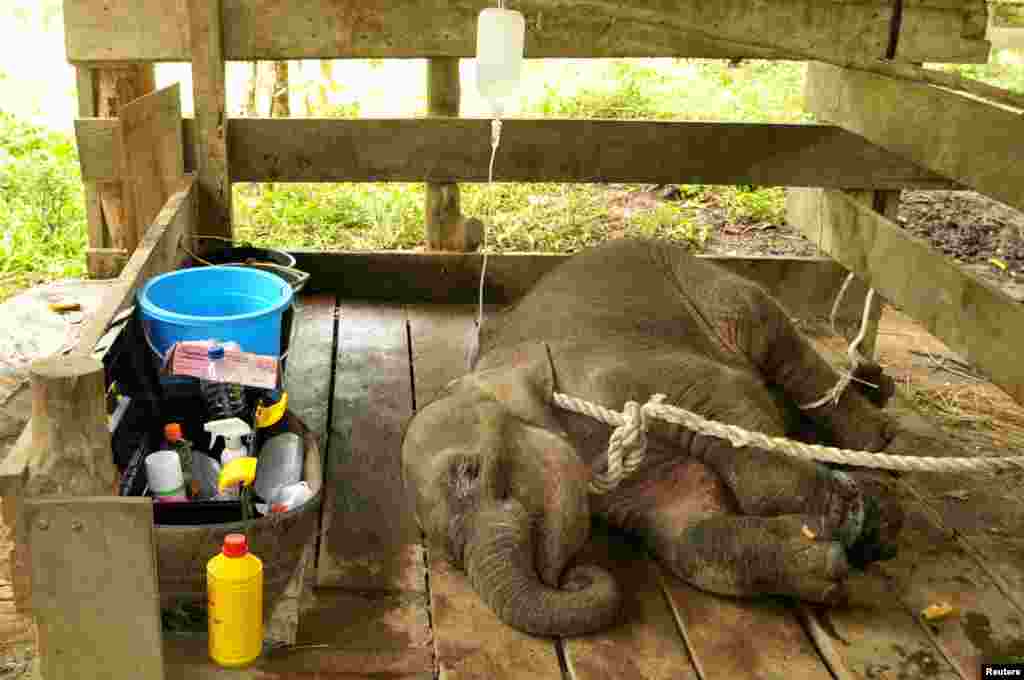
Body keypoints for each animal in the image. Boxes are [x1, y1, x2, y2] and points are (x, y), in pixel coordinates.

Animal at [397, 237, 905, 639]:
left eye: (470, 471)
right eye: (449, 557)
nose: (576, 576)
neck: (492, 369)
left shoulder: (620, 372)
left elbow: (722, 403)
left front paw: (865, 522)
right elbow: (688, 524)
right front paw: (826, 561)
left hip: (708, 284)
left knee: (774, 342)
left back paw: (876, 440)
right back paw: (876, 388)